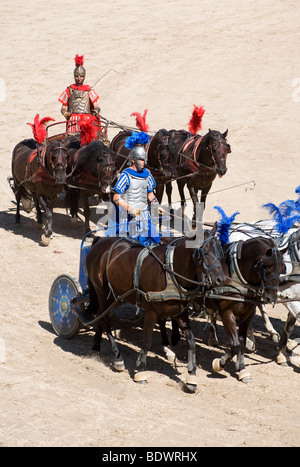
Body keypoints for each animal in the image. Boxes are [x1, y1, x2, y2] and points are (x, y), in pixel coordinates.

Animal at [84, 225, 225, 394]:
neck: (171, 270)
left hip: (112, 295)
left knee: (102, 317)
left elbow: (191, 341)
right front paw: (141, 371)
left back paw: (95, 346)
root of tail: (100, 241)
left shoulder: (180, 312)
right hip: (102, 291)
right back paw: (117, 358)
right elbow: (147, 341)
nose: (221, 279)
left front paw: (191, 377)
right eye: (205, 251)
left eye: (220, 250)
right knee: (105, 321)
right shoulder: (151, 312)